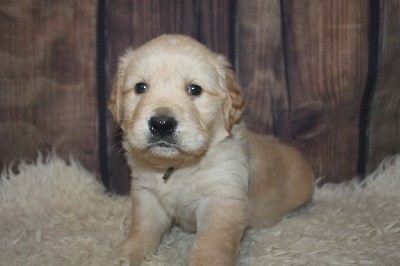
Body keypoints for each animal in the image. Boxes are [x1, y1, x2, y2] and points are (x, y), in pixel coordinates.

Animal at [109, 34, 316, 264]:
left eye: (194, 89)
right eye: (140, 87)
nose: (162, 124)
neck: (177, 166)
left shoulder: (222, 199)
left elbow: (211, 244)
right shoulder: (147, 193)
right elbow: (142, 227)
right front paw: (126, 254)